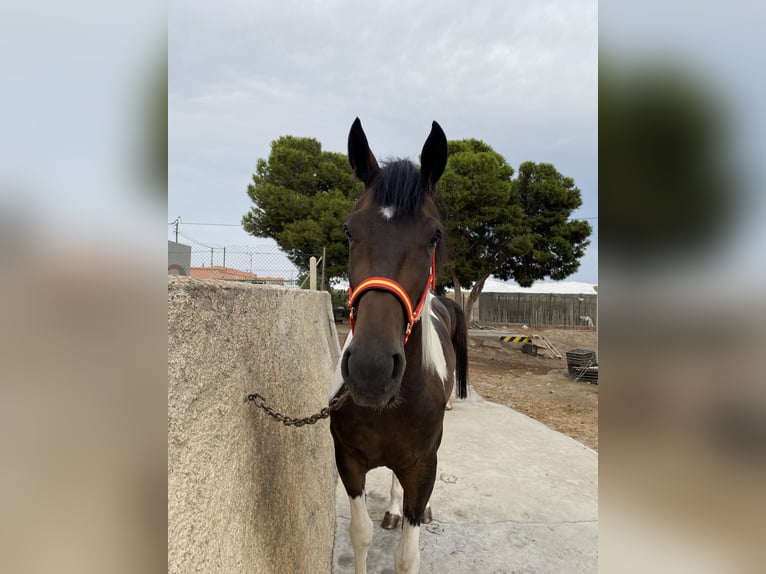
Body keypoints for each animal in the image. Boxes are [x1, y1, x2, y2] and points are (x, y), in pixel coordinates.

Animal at [329, 118, 468, 574]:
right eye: (349, 230)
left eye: (434, 236)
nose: (371, 369)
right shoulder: (349, 462)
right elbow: (360, 535)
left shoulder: (423, 468)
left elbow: (407, 557)